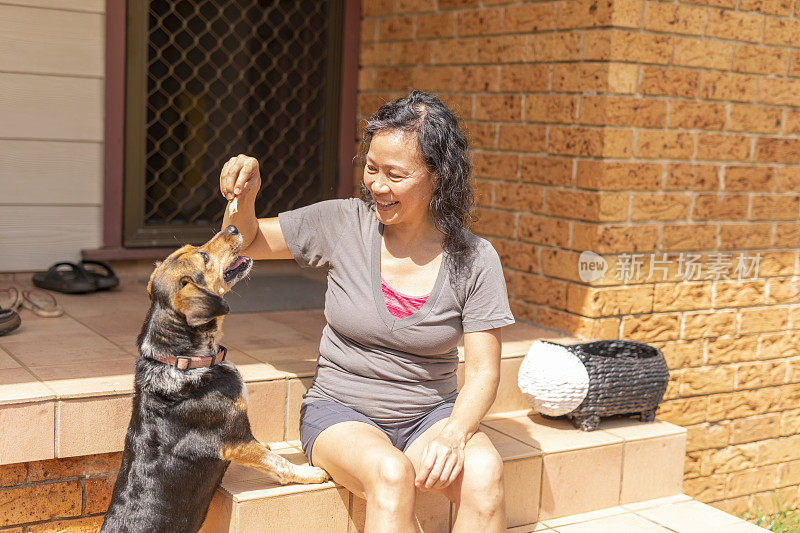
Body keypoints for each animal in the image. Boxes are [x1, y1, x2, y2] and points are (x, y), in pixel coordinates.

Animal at [101, 224, 330, 532]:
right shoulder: (236, 440)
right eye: (204, 257)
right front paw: (311, 473)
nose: (233, 227)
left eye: (195, 247)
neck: (183, 360)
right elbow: (278, 463)